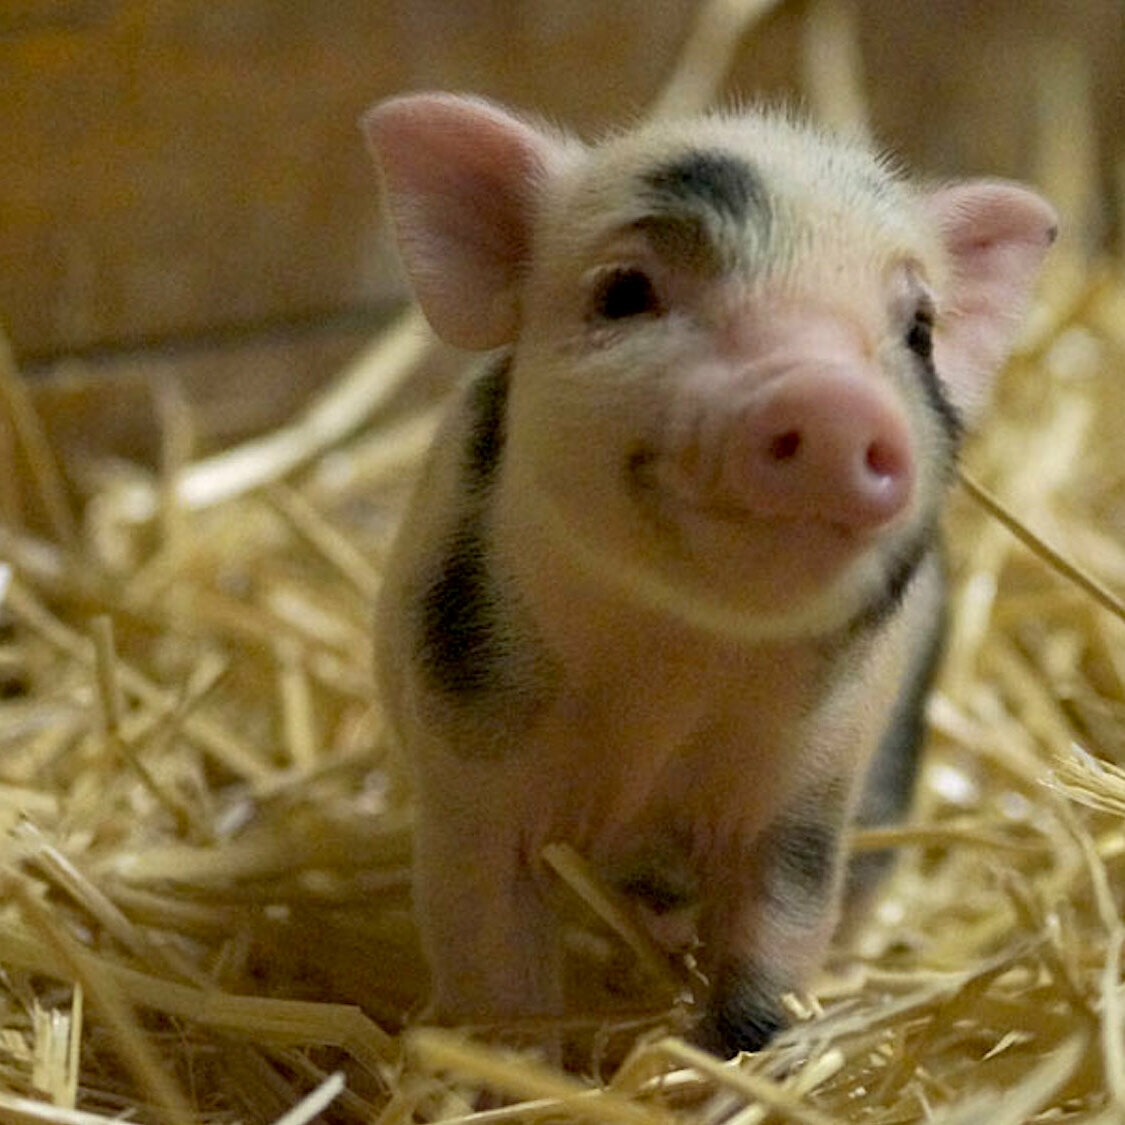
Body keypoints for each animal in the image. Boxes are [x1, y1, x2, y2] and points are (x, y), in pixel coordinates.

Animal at [362, 94, 1053, 1053]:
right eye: (624, 290)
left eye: (917, 332)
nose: (831, 402)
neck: (675, 665)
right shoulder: (470, 777)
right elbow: (495, 972)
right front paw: (509, 1065)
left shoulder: (803, 795)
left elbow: (771, 958)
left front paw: (744, 1055)